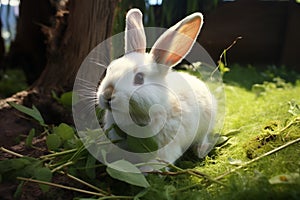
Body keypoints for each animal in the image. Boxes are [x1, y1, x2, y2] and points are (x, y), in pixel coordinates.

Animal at [97, 8, 217, 170]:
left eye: (139, 78)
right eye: (110, 69)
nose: (107, 95)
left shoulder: (166, 147)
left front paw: (148, 171)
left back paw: (201, 149)